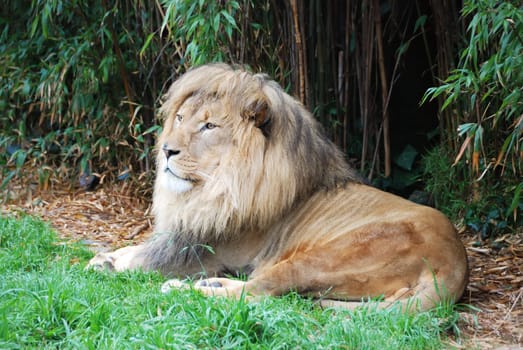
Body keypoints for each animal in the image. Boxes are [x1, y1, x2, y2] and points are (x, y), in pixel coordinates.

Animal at [88, 63, 468, 312]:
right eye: (180, 118)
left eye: (209, 126)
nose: (167, 150)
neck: (214, 188)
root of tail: (456, 262)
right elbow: (136, 247)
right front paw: (105, 256)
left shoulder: (206, 250)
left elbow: (144, 259)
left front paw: (108, 264)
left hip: (321, 258)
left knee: (260, 292)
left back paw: (186, 289)